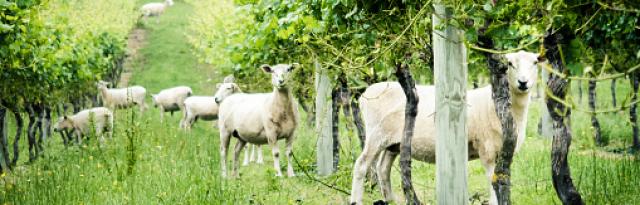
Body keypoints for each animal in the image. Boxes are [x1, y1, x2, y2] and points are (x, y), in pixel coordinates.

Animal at [348, 50, 544, 204]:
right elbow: (493, 180)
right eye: (510, 63)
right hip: (376, 134)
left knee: (383, 168)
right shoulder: (486, 149)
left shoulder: (506, 151)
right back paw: (356, 200)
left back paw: (390, 200)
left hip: (394, 142)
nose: (523, 82)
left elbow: (503, 179)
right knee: (361, 165)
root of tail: (367, 93)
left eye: (535, 62)